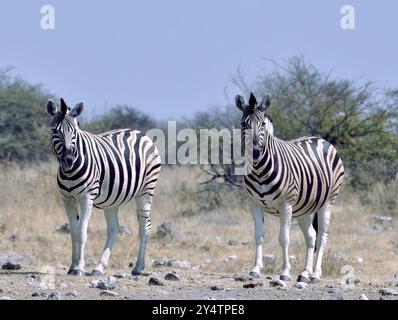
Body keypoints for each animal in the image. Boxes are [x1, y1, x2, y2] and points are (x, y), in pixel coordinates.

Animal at [47, 97, 162, 276]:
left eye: (75, 132)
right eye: (54, 131)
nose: (68, 159)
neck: (70, 172)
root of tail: (139, 133)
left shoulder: (86, 197)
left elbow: (82, 232)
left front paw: (79, 267)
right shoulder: (67, 199)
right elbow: (73, 232)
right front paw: (72, 266)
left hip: (146, 190)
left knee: (145, 227)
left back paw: (138, 268)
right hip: (113, 199)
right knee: (114, 229)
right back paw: (99, 267)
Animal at [235, 92, 344, 282]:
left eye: (262, 124)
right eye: (243, 124)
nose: (255, 152)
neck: (259, 170)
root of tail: (320, 139)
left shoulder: (286, 204)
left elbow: (284, 238)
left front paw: (285, 272)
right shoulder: (253, 204)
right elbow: (258, 236)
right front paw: (255, 269)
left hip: (328, 202)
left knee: (322, 237)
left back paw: (316, 274)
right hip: (305, 207)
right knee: (311, 236)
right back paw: (305, 273)